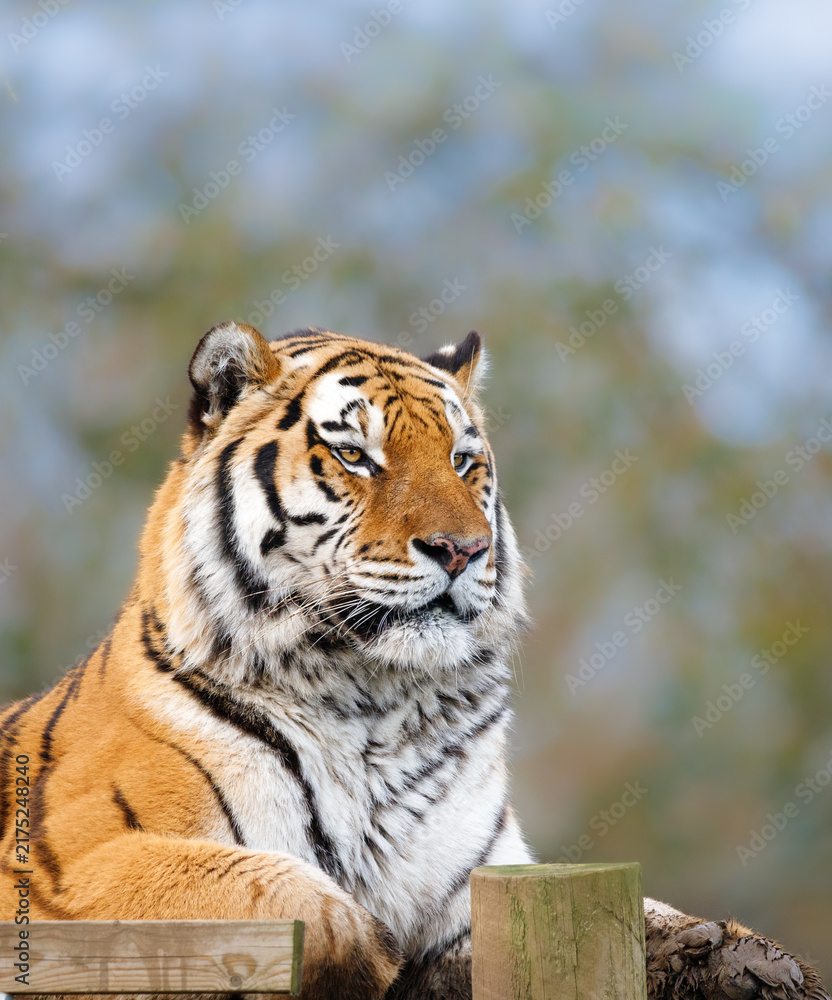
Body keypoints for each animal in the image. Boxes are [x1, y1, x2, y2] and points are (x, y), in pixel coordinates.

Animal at [0, 322, 827, 1000]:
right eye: (354, 455)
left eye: (463, 461)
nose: (463, 551)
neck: (373, 701)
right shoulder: (64, 865)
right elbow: (275, 888)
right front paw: (373, 961)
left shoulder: (483, 879)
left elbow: (657, 914)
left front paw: (748, 962)